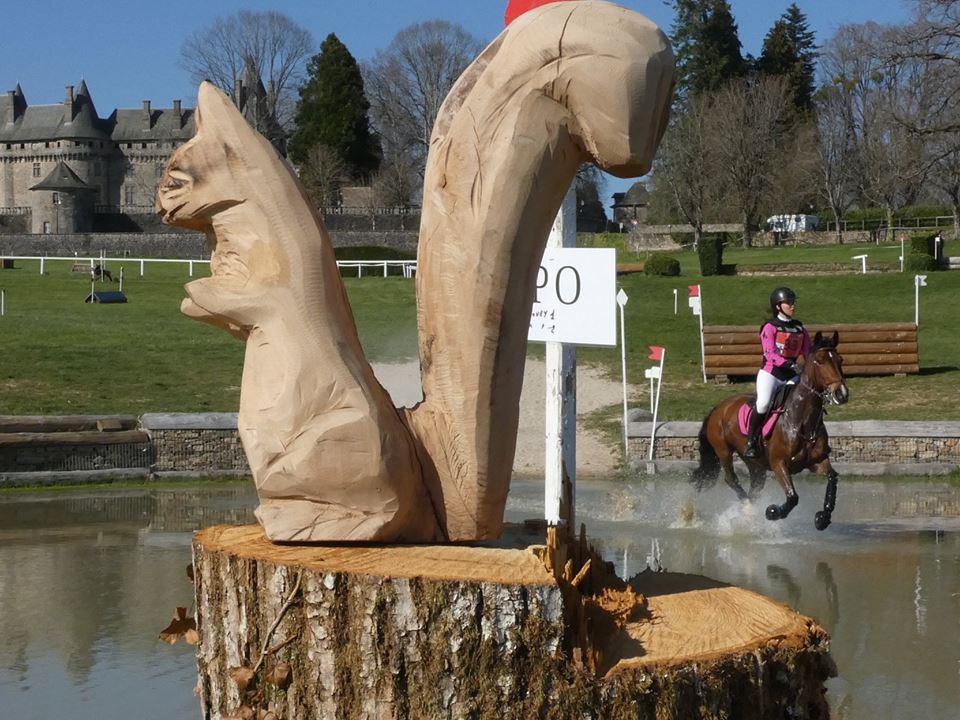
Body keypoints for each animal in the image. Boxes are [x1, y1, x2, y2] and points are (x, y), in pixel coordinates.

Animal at [688, 330, 848, 528]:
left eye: (840, 360)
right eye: (820, 360)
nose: (842, 394)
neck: (801, 421)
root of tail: (719, 408)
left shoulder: (817, 461)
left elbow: (832, 478)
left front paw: (822, 518)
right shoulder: (779, 463)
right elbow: (792, 497)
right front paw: (773, 512)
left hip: (755, 463)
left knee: (755, 485)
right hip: (723, 451)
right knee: (731, 479)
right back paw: (748, 507)